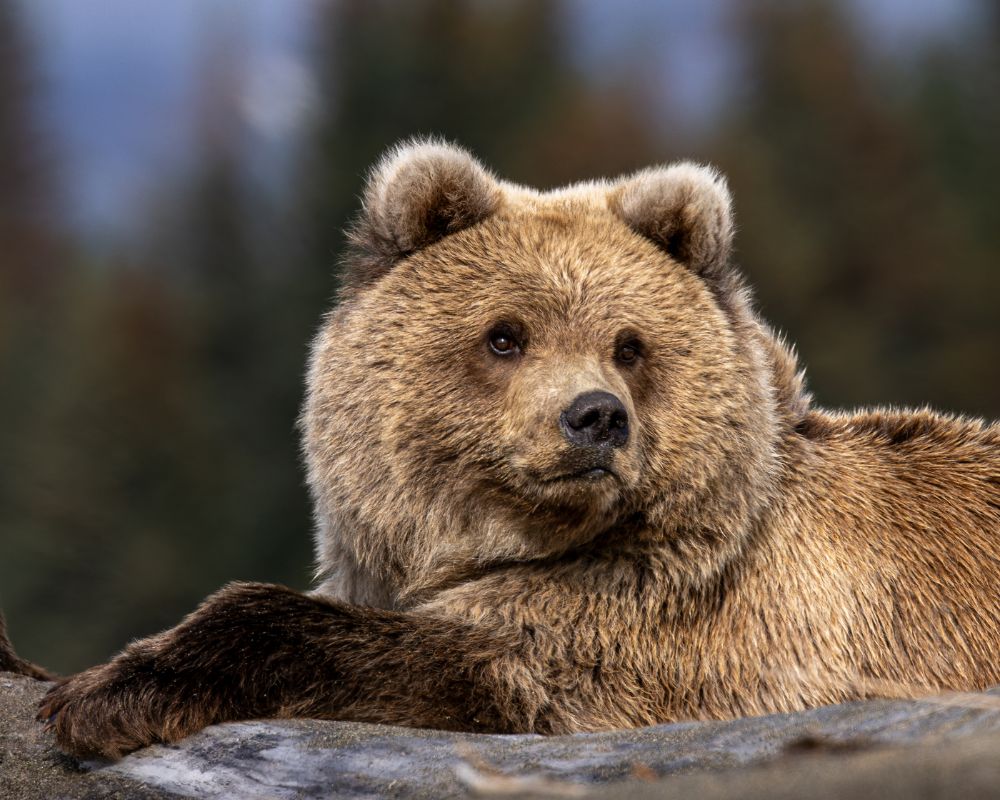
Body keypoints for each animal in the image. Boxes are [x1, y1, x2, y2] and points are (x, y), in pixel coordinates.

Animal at [37, 139, 1000, 760]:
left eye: (629, 345)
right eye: (506, 336)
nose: (595, 417)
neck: (511, 540)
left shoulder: (684, 629)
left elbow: (487, 661)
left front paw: (103, 697)